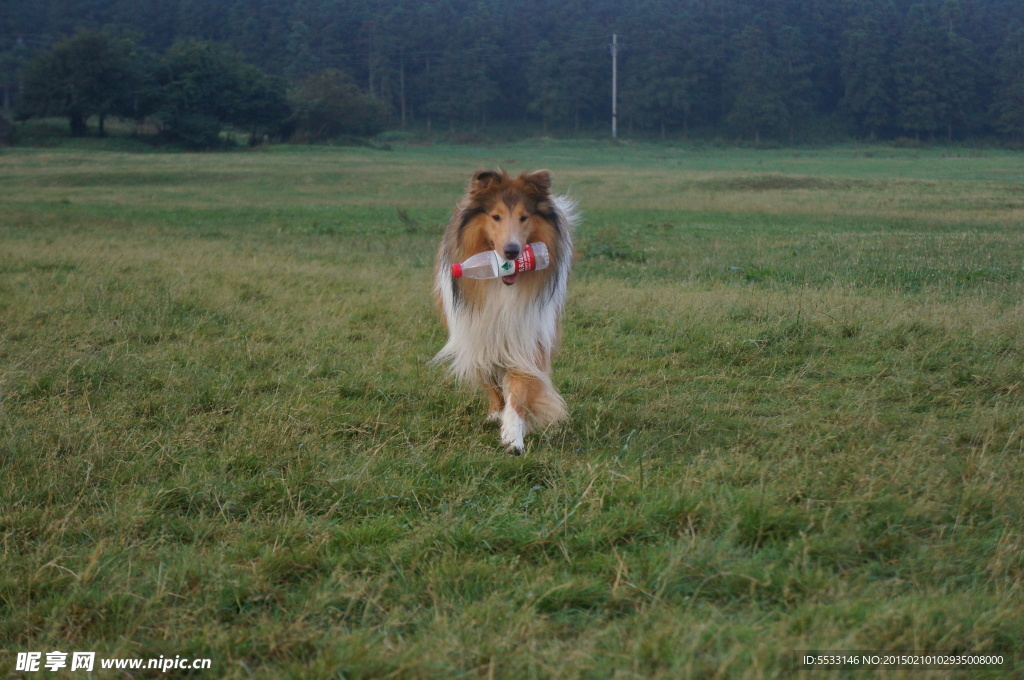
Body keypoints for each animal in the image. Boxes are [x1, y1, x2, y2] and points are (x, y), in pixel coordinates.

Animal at [432, 166, 577, 454]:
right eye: (496, 216)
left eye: (524, 217)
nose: (512, 252)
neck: (501, 285)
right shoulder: (477, 336)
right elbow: (491, 381)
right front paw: (497, 414)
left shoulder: (527, 339)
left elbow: (519, 392)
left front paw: (513, 436)